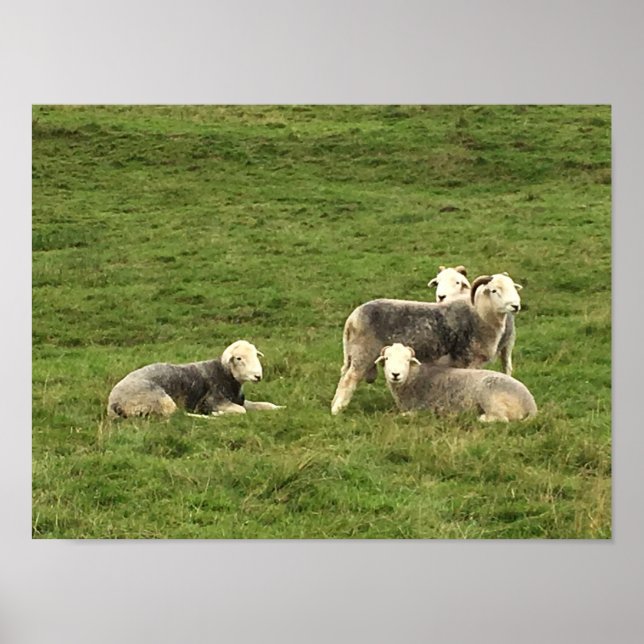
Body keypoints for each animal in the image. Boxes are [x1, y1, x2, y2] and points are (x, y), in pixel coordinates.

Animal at [107, 340, 284, 419]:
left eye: (256, 355)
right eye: (239, 358)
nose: (258, 376)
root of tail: (113, 402)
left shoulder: (238, 400)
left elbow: (265, 405)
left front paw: (281, 407)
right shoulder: (214, 400)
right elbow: (242, 410)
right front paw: (217, 412)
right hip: (160, 399)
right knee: (179, 415)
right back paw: (212, 415)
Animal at [330, 272, 523, 415]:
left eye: (513, 287)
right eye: (494, 290)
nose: (515, 306)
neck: (481, 315)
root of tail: (352, 318)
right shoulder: (468, 360)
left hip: (353, 354)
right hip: (363, 352)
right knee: (348, 380)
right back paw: (337, 410)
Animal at [376, 343, 537, 422]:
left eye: (407, 360)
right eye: (387, 359)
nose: (395, 374)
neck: (414, 378)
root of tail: (530, 404)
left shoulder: (423, 408)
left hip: (490, 395)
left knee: (502, 419)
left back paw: (480, 418)